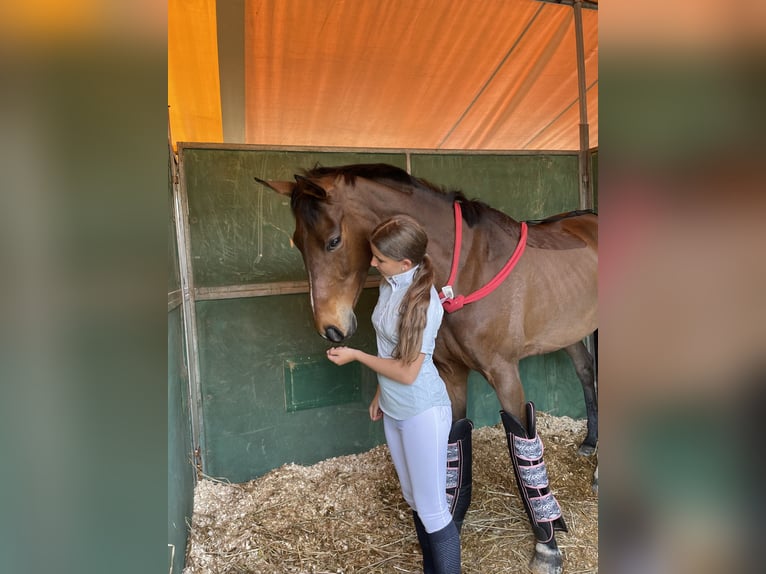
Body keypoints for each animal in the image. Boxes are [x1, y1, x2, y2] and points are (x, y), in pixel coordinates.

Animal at [256, 163, 597, 574]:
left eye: (333, 241)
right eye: (296, 241)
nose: (331, 329)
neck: (468, 267)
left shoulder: (504, 373)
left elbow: (523, 445)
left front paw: (547, 545)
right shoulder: (450, 371)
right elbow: (453, 444)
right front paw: (449, 519)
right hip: (570, 333)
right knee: (587, 375)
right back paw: (591, 443)